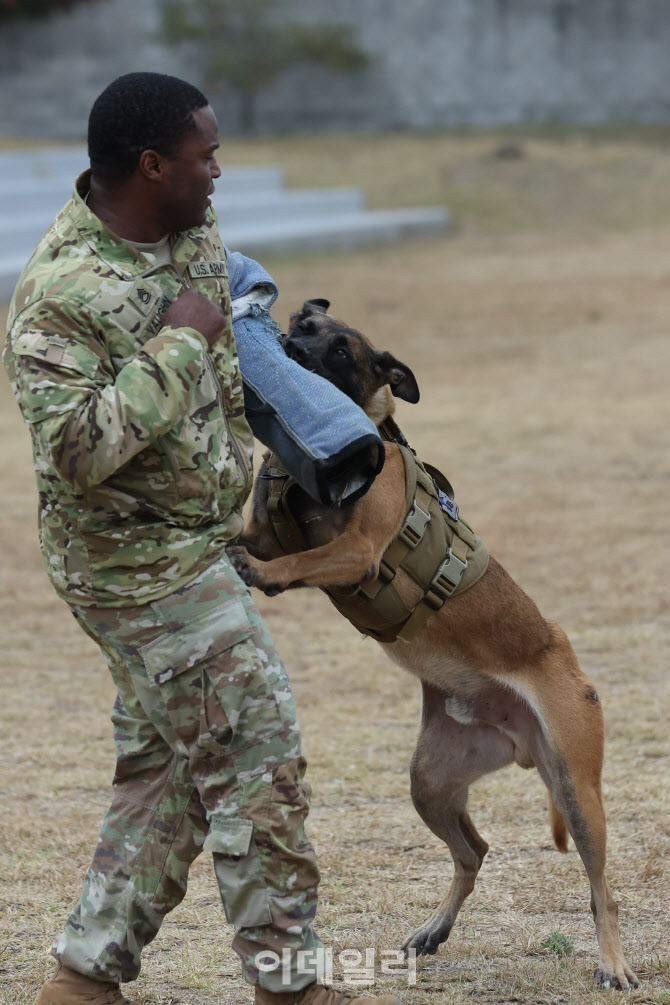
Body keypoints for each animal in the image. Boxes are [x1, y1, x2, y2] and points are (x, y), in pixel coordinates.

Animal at [229, 295, 638, 988]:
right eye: (301, 327)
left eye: (342, 352)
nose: (290, 350)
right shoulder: (278, 529)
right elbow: (255, 531)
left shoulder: (358, 550)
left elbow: (295, 560)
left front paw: (263, 572)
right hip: (431, 781)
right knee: (474, 851)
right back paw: (434, 930)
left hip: (578, 792)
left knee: (599, 889)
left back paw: (613, 963)